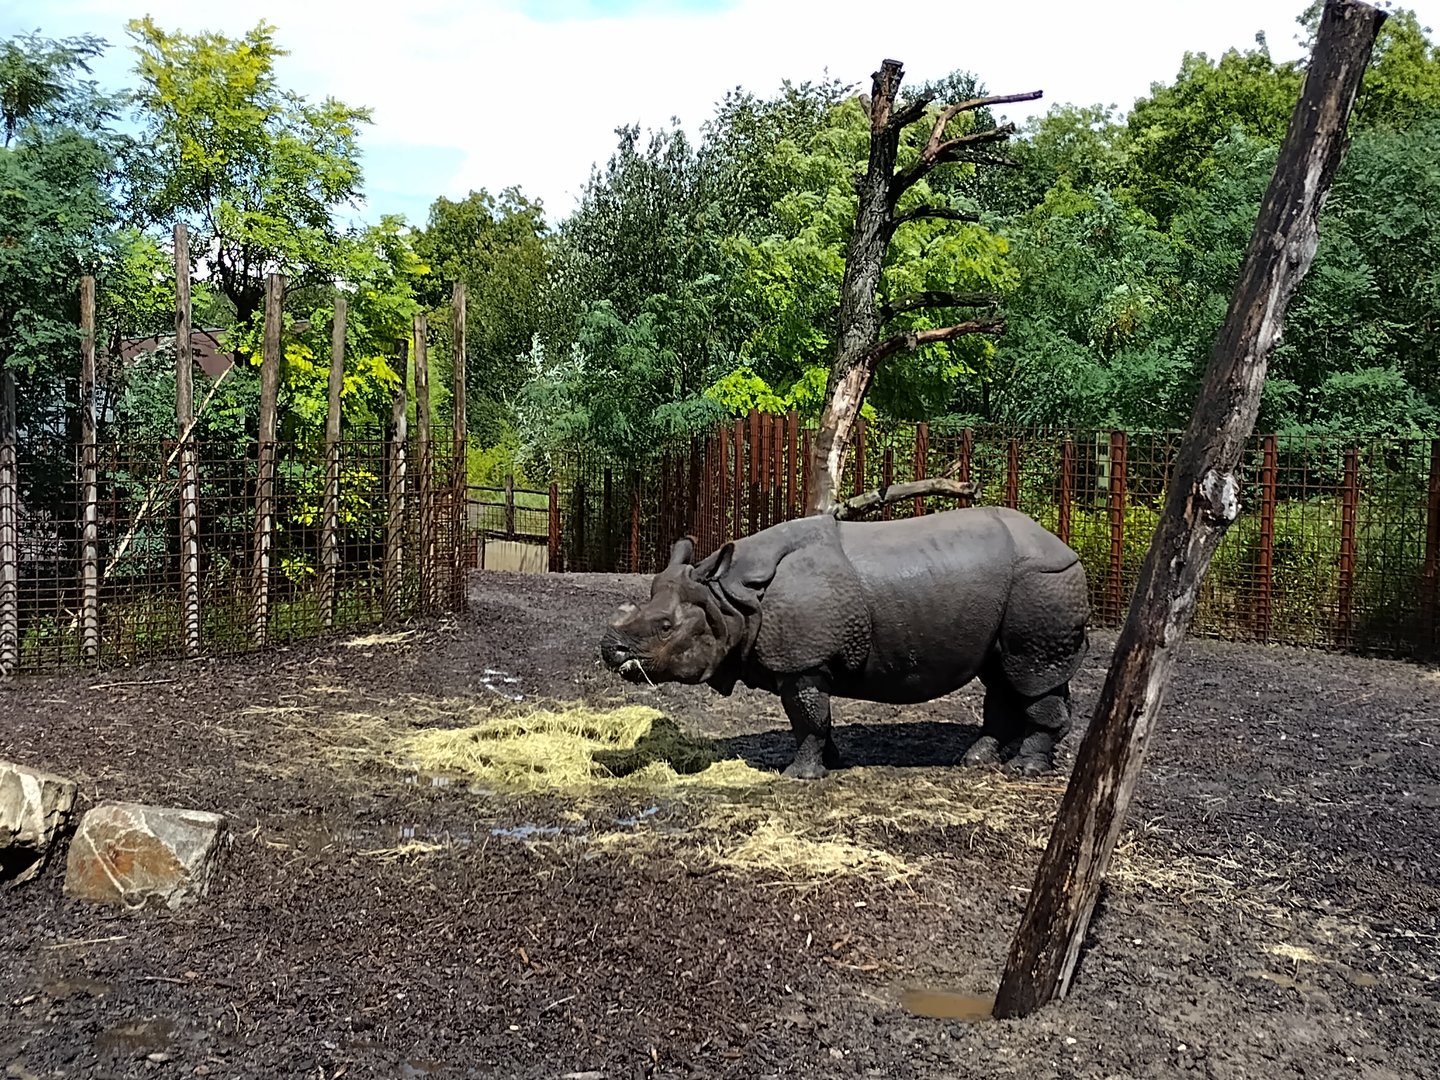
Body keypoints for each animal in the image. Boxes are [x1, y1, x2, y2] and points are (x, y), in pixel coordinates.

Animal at [599, 506, 1090, 779]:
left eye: (665, 627)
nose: (609, 649)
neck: (728, 599)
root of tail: (1067, 548)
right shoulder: (806, 662)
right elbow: (814, 718)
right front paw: (829, 762)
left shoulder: (802, 661)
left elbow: (807, 717)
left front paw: (798, 776)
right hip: (1020, 591)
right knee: (1006, 675)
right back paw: (975, 761)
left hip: (1041, 582)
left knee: (1030, 673)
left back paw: (1024, 770)